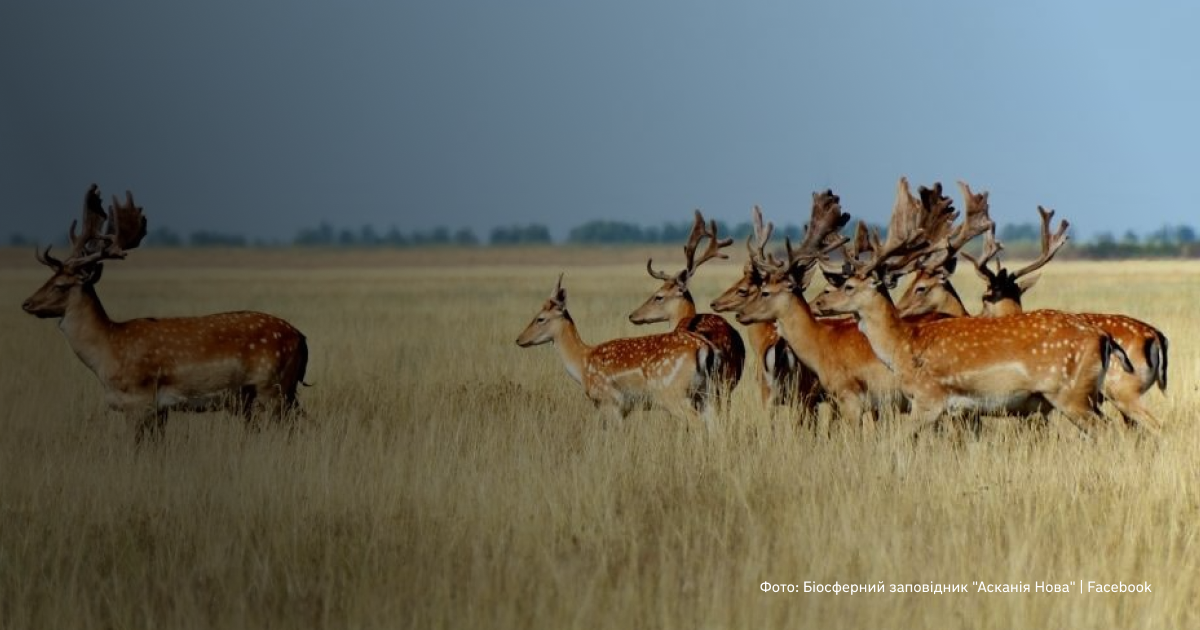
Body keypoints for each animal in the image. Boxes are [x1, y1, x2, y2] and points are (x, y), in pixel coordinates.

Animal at [21, 184, 309, 439]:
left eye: (61, 285)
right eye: (48, 278)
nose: (27, 303)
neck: (107, 349)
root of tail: (301, 337)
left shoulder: (140, 401)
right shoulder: (159, 410)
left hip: (273, 387)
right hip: (262, 396)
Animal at [513, 273, 715, 427]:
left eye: (540, 318)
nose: (519, 339)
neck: (582, 363)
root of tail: (703, 349)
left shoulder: (609, 402)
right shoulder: (623, 408)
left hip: (672, 394)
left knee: (697, 424)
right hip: (705, 394)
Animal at [806, 177, 1123, 436]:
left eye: (848, 286)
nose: (819, 303)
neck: (903, 348)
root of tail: (1103, 338)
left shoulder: (929, 399)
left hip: (1071, 395)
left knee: (1110, 432)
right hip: (1083, 397)